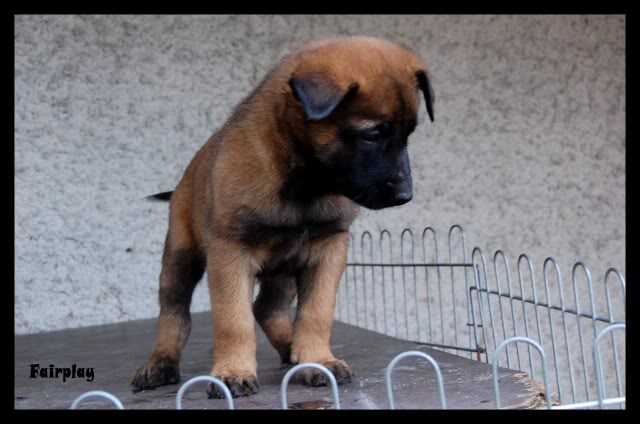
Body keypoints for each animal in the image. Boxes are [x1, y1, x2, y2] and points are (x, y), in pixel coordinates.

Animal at [133, 35, 438, 398]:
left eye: (407, 136)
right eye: (371, 135)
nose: (405, 196)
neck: (303, 185)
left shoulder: (328, 248)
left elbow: (316, 312)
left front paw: (317, 360)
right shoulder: (230, 254)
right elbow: (233, 319)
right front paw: (233, 372)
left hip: (284, 267)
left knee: (267, 307)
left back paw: (293, 351)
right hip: (181, 257)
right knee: (174, 312)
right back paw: (160, 362)